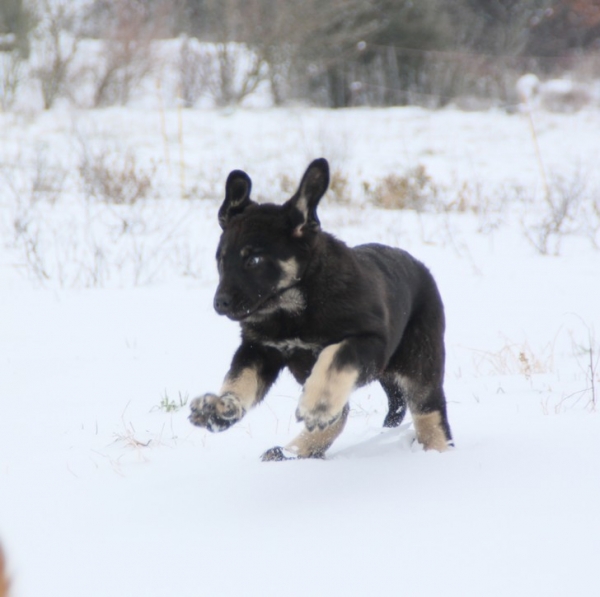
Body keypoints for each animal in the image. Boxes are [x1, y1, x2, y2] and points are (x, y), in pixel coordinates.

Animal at [190, 156, 452, 458]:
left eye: (254, 260)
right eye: (221, 260)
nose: (220, 303)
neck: (294, 308)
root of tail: (421, 268)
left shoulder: (370, 340)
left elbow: (334, 356)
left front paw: (318, 405)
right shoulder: (259, 349)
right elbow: (240, 380)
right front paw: (220, 409)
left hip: (421, 362)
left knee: (429, 413)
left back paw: (435, 451)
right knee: (342, 416)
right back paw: (290, 453)